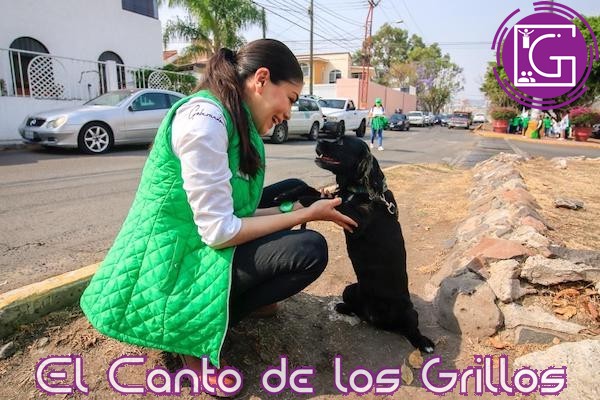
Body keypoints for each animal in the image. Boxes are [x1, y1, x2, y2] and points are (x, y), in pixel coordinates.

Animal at [277, 137, 434, 354]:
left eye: (341, 143)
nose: (319, 138)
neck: (359, 189)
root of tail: (375, 318)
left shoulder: (356, 219)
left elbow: (327, 200)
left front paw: (306, 199)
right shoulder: (339, 198)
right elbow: (312, 189)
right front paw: (285, 194)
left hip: (410, 312)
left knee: (412, 330)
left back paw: (424, 343)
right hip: (350, 289)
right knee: (357, 310)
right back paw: (343, 307)